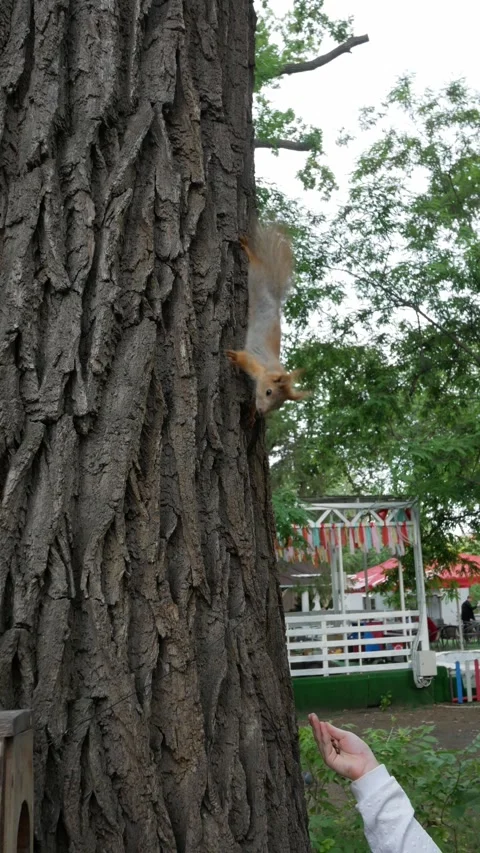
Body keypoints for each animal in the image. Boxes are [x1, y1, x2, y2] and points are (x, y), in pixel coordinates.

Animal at [226, 223, 307, 415]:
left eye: (278, 405)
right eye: (269, 392)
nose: (262, 411)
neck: (271, 370)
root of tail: (274, 298)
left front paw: (251, 416)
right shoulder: (256, 364)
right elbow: (244, 358)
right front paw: (234, 356)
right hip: (256, 276)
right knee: (256, 262)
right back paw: (248, 250)